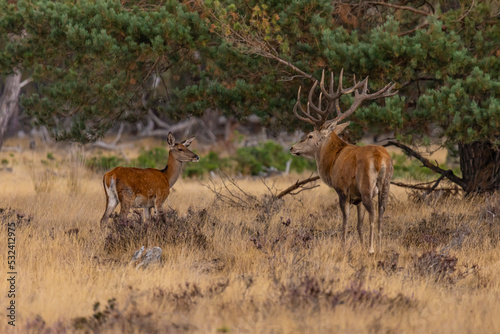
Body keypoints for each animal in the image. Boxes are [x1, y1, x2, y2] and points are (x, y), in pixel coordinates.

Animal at [292, 70, 396, 253]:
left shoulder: (342, 190)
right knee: (381, 214)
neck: (332, 160)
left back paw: (371, 249)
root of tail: (381, 159)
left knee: (373, 214)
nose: (292, 148)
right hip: (386, 184)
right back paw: (380, 247)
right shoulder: (357, 198)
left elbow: (345, 222)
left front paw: (343, 246)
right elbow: (359, 225)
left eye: (310, 136)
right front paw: (360, 245)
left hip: (366, 185)